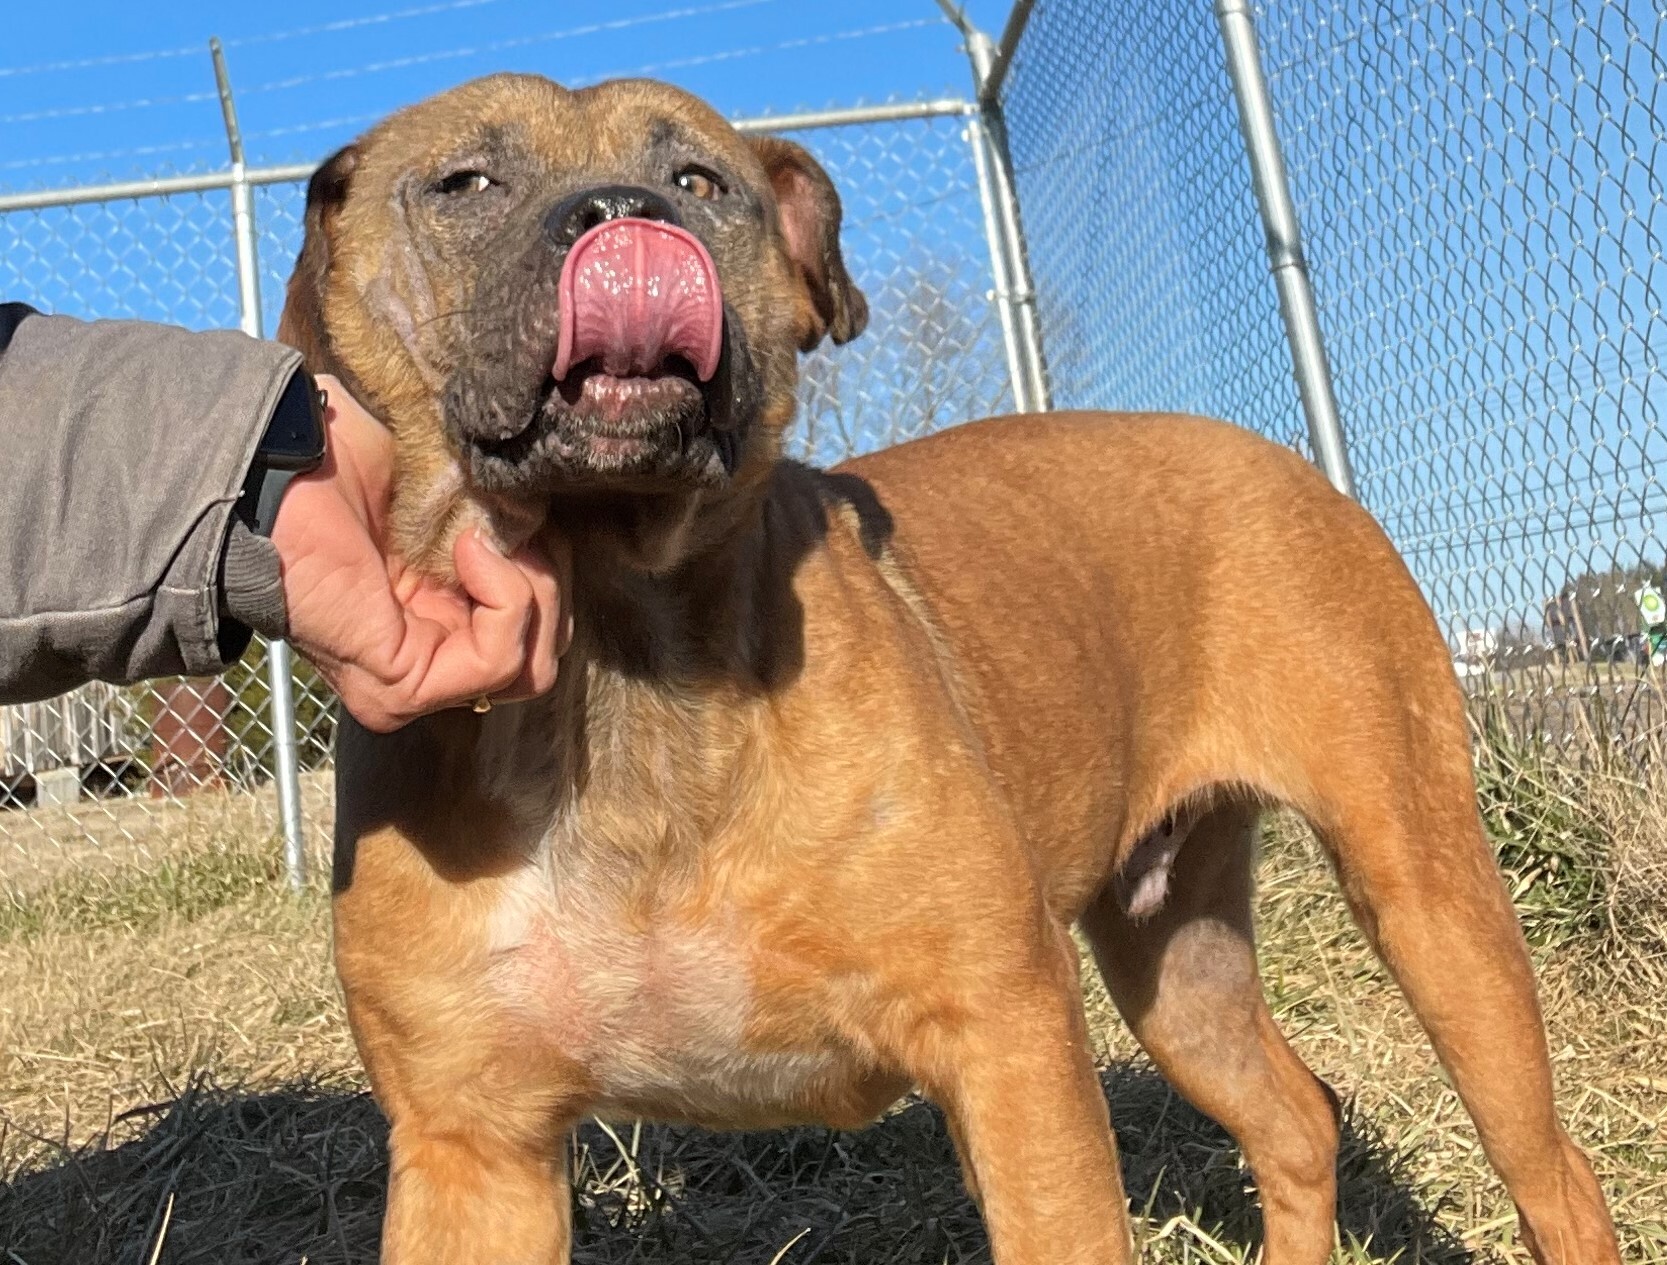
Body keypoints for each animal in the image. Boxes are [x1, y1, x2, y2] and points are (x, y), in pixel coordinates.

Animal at [280, 74, 1620, 1260]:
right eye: (464, 182)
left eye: (700, 179)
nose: (623, 214)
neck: (624, 680)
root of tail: (1284, 461)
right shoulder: (474, 1147)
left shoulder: (1010, 1043)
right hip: (1174, 963)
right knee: (1294, 1119)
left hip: (1428, 902)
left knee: (1554, 1172)